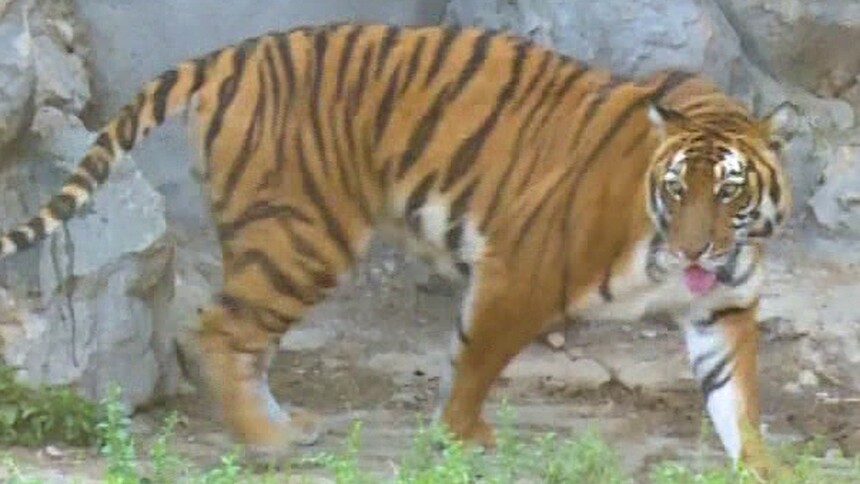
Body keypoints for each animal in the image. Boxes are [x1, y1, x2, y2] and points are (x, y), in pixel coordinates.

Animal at [0, 23, 794, 475]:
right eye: (676, 190)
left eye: (728, 192)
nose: (694, 253)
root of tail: (233, 55)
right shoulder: (520, 270)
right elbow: (475, 360)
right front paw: (462, 438)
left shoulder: (724, 309)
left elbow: (738, 403)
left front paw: (767, 469)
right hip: (303, 236)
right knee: (222, 329)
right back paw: (268, 439)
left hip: (283, 239)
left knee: (246, 337)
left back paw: (284, 425)